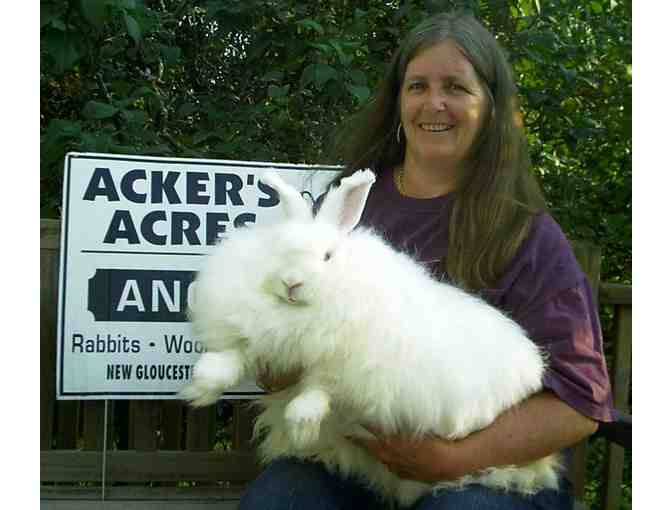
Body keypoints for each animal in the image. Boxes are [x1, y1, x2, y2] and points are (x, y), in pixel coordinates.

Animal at [180, 170, 560, 506]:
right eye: (278, 250)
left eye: (328, 256)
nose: (291, 282)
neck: (298, 311)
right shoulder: (252, 336)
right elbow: (230, 357)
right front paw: (200, 390)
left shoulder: (346, 364)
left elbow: (319, 389)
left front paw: (302, 426)